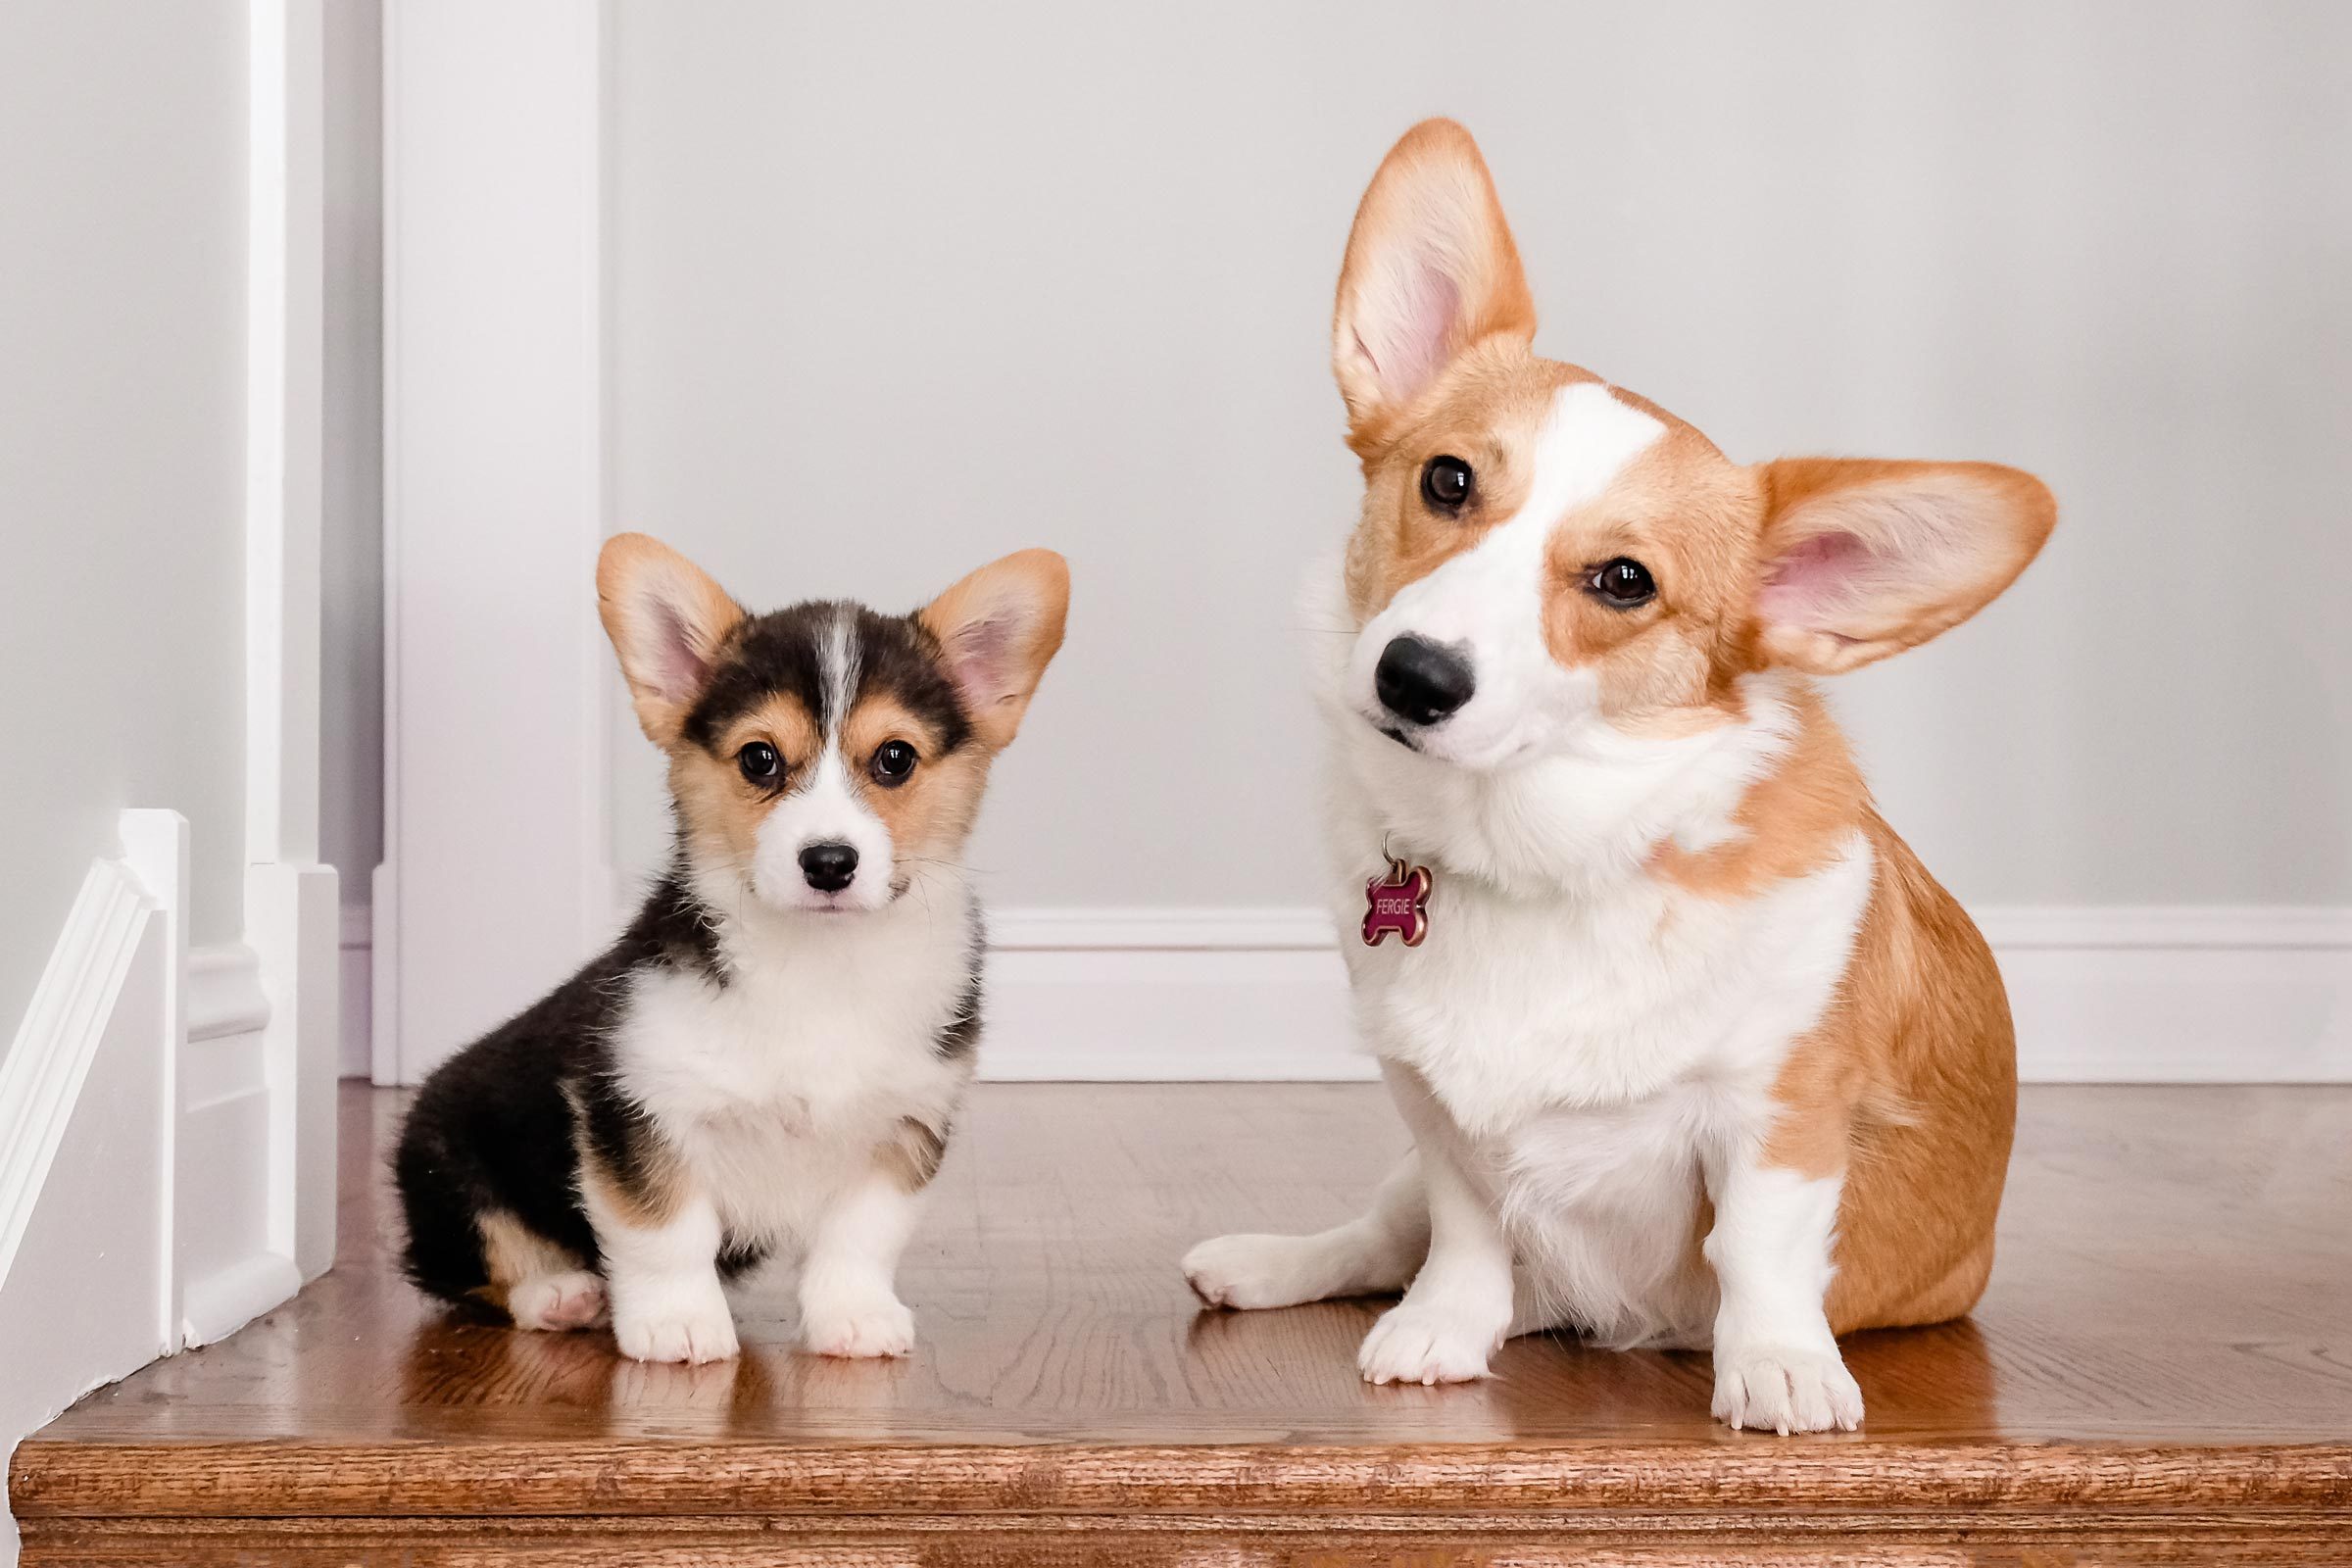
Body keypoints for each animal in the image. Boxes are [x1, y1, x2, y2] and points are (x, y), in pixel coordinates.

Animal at [400, 535, 1072, 1363]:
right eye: (759, 759)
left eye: (895, 759)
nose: (829, 862)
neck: (821, 964)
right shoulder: (639, 1107)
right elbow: (664, 1232)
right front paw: (677, 1324)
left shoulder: (903, 1126)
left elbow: (862, 1236)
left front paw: (854, 1317)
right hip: (448, 1157)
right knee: (471, 1265)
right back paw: (560, 1293)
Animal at [1185, 122, 2050, 1439]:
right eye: (1446, 480)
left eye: (1625, 582)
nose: (1413, 675)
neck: (1538, 847)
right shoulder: (1437, 1118)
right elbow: (1467, 1233)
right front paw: (1440, 1332)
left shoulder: (1779, 1110)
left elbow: (1760, 1248)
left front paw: (1780, 1366)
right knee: (1382, 1238)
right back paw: (1266, 1265)